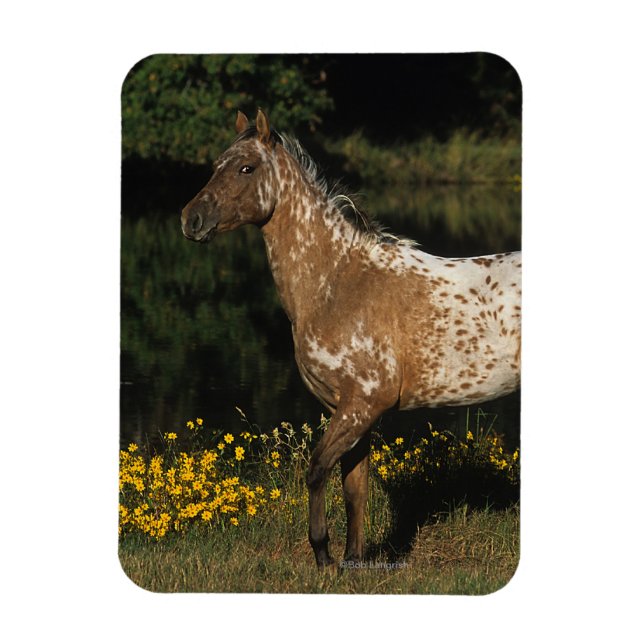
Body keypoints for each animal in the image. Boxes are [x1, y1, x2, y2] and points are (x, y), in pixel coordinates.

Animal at [181, 109, 521, 569]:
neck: (338, 282)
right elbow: (354, 488)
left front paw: (324, 554)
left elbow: (317, 470)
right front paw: (354, 562)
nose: (191, 220)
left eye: (246, 168)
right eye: (217, 164)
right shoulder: (350, 410)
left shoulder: (362, 406)